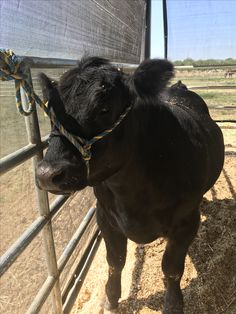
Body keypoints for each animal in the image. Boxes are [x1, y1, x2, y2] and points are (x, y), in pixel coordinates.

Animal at [36, 57, 224, 314]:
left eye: (104, 109)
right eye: (51, 113)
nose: (47, 173)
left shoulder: (187, 221)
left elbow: (172, 268)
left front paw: (173, 304)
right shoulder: (105, 217)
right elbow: (115, 262)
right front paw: (111, 299)